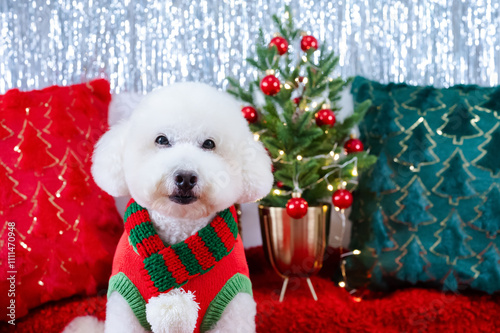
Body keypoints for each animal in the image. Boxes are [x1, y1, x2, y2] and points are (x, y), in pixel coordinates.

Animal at [88, 82, 272, 332]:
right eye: (161, 140)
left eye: (209, 144)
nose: (185, 177)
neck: (180, 227)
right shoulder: (124, 303)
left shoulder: (234, 304)